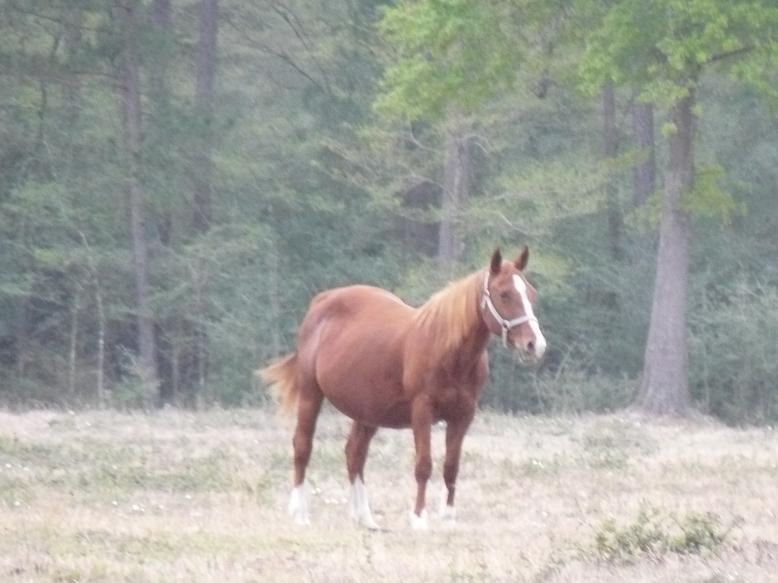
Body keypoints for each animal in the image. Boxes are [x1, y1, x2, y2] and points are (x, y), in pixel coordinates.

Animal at [260, 247, 546, 530]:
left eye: (531, 293)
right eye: (504, 294)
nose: (535, 344)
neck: (447, 350)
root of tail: (322, 301)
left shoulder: (463, 415)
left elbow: (451, 467)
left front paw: (448, 519)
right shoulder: (422, 410)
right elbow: (423, 465)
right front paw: (418, 518)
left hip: (367, 412)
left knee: (354, 454)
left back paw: (364, 517)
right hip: (311, 395)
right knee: (303, 446)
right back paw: (300, 513)